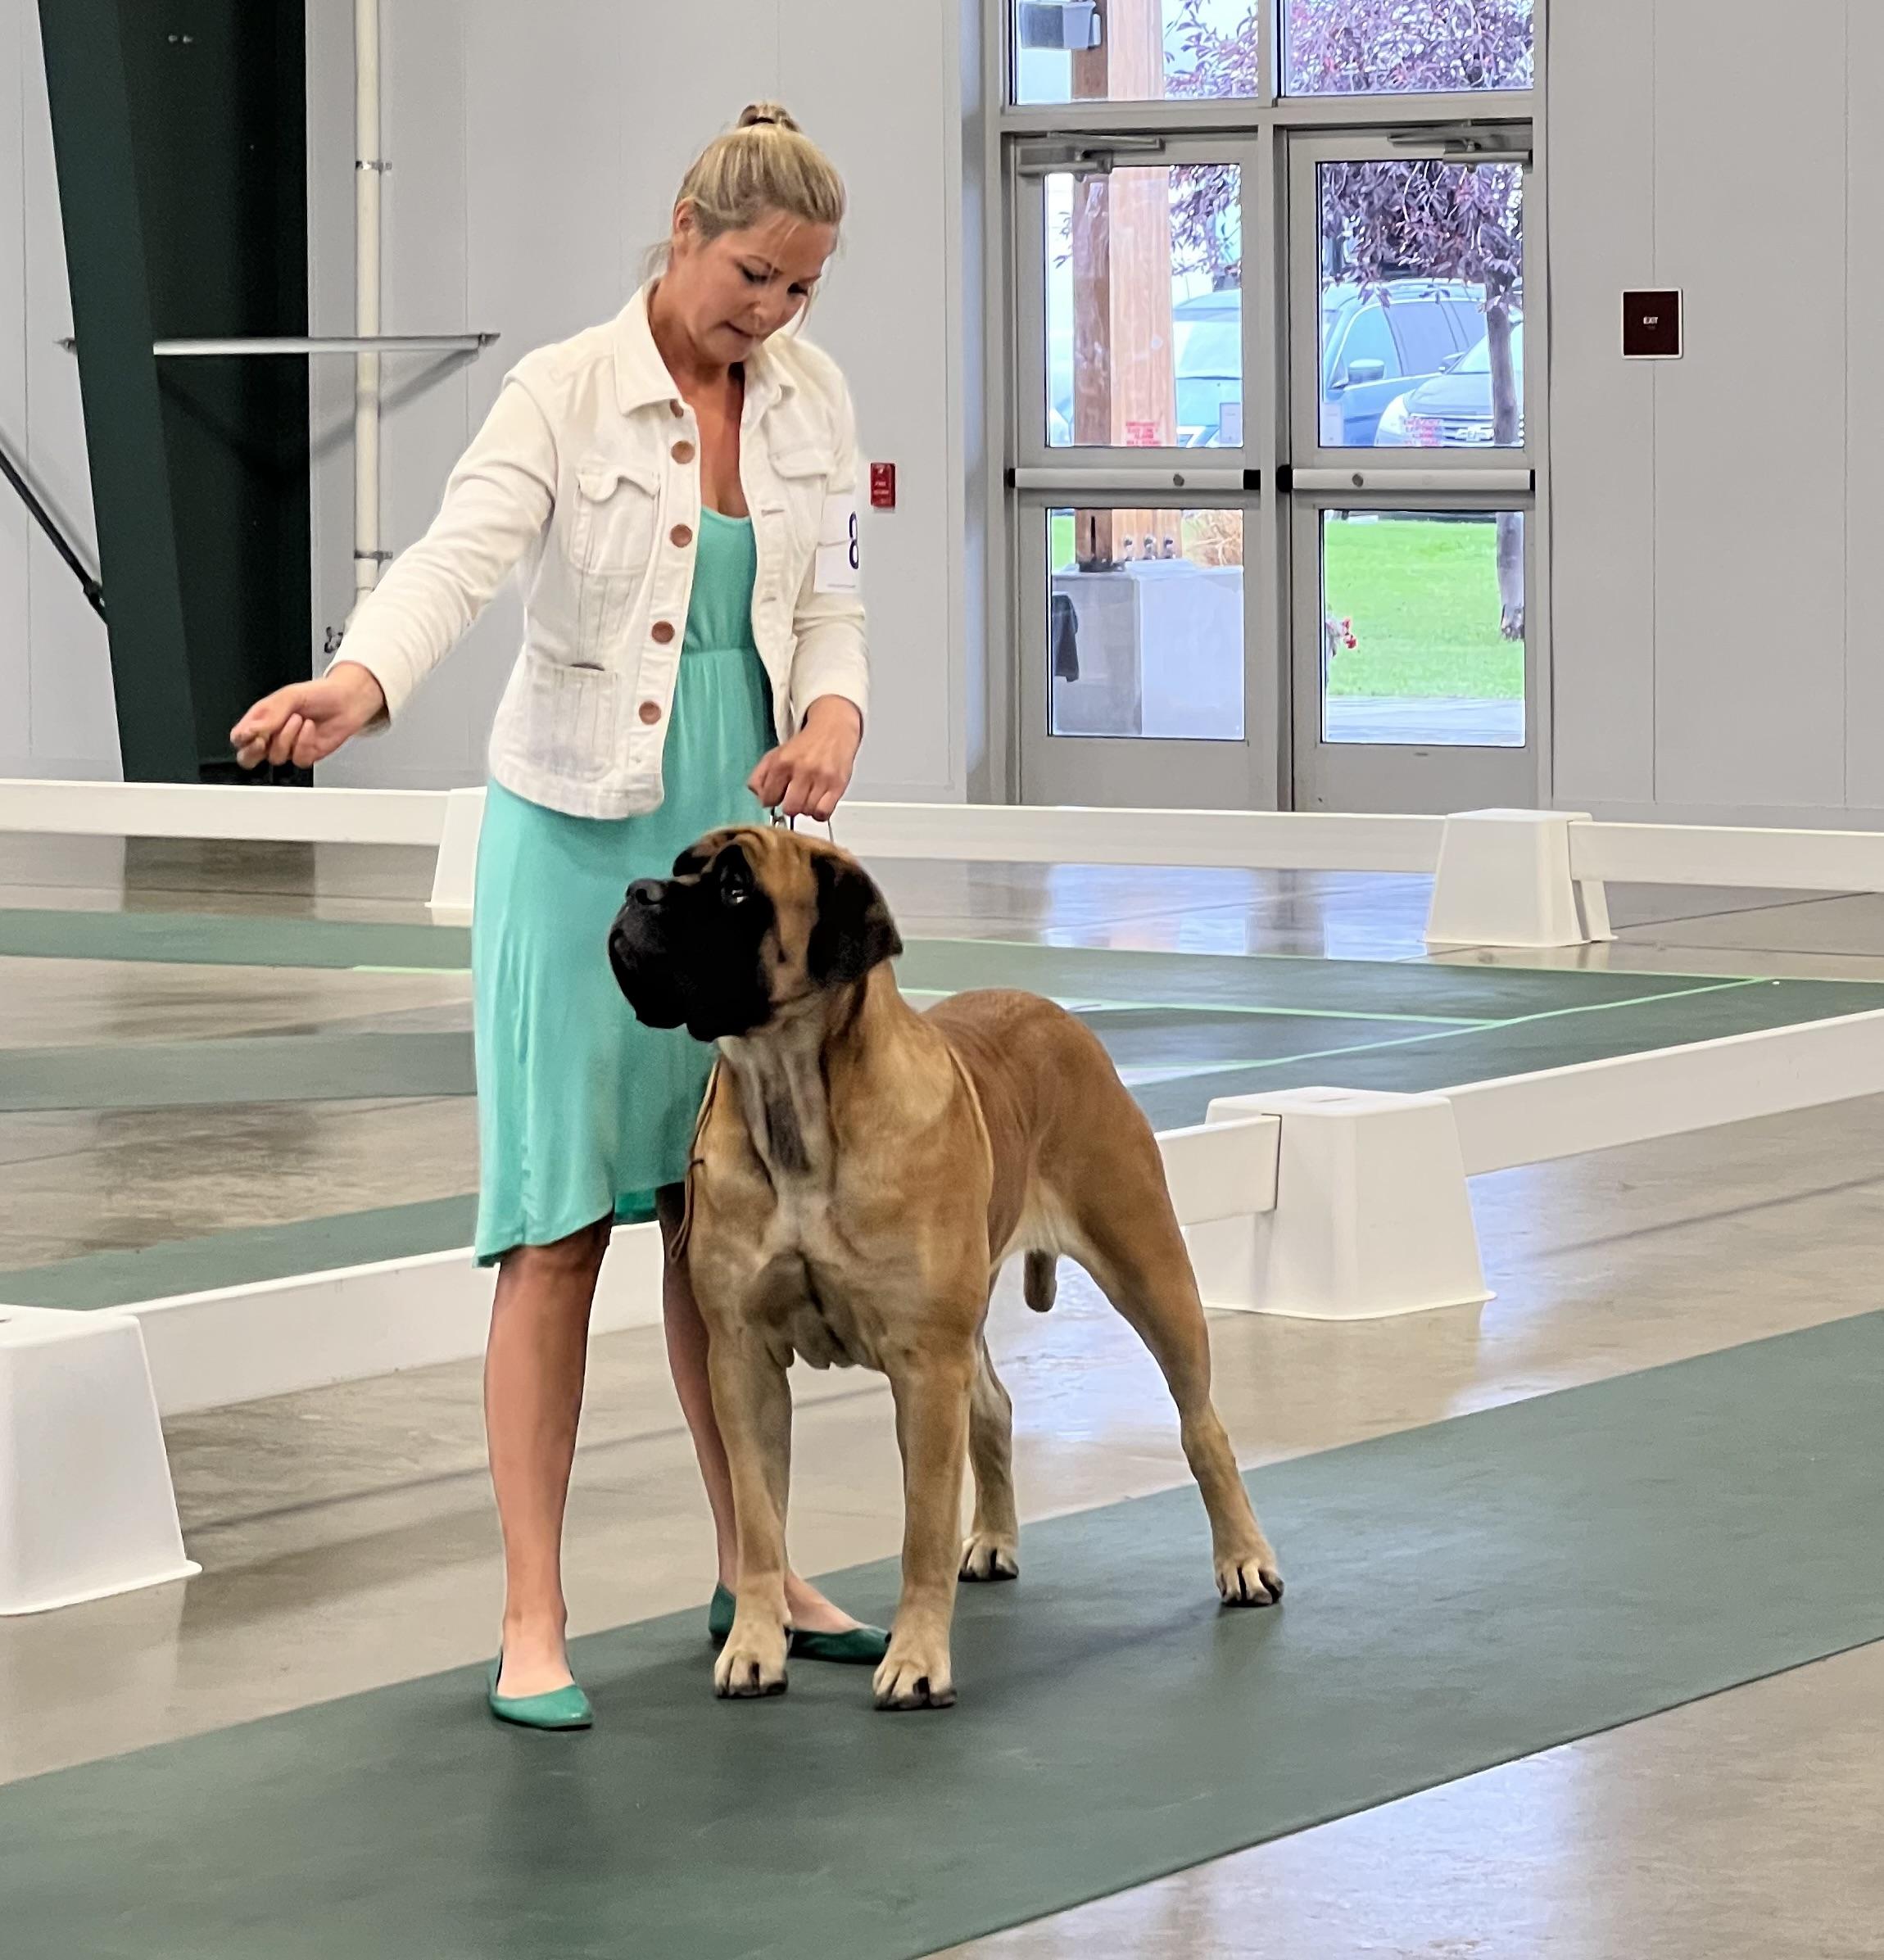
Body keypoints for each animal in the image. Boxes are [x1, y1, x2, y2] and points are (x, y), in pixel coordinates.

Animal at [608, 825, 1282, 1711]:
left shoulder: (925, 1365)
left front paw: (917, 1660)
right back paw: (993, 1537)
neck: (792, 1100)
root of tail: (1054, 1015)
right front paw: (754, 1644)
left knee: (1201, 1423)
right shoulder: (742, 1358)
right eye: (681, 867)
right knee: (993, 1404)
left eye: (734, 888)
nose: (637, 893)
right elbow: (756, 1519)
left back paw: (1244, 1558)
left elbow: (920, 1528)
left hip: (1149, 1266)